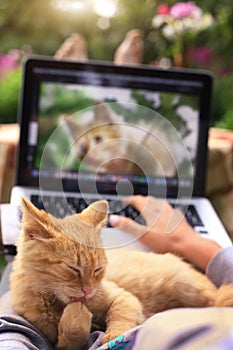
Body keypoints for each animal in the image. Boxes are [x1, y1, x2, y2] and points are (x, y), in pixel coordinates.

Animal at [10, 198, 233, 348]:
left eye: (98, 269)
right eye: (73, 268)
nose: (88, 290)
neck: (54, 302)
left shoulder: (123, 297)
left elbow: (120, 318)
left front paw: (111, 336)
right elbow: (67, 341)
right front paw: (76, 318)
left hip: (191, 288)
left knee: (216, 299)